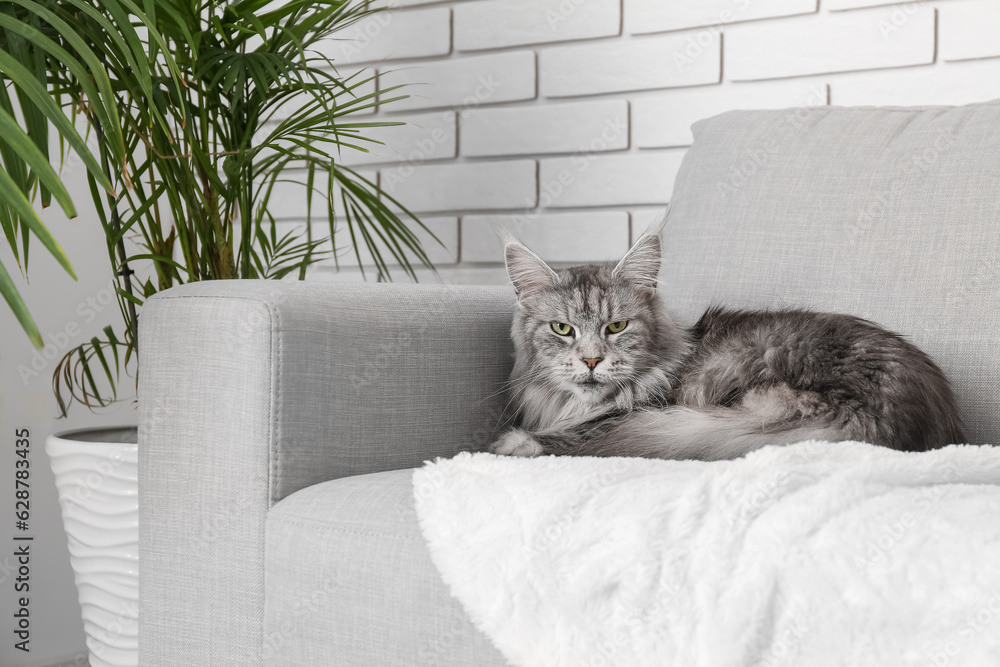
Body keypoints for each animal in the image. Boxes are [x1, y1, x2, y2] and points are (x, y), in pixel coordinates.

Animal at [488, 223, 964, 460]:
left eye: (617, 327)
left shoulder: (621, 419)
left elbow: (566, 439)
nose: (590, 361)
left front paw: (511, 444)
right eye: (562, 330)